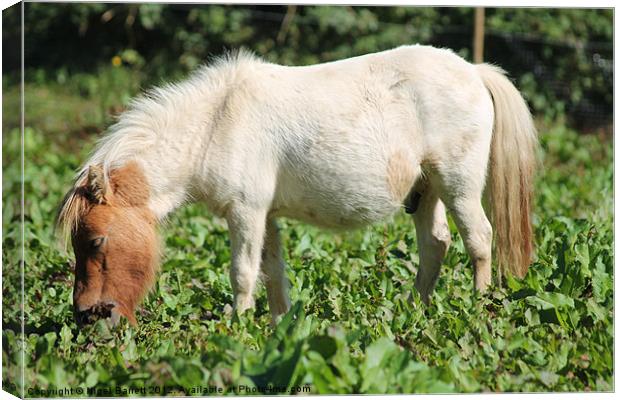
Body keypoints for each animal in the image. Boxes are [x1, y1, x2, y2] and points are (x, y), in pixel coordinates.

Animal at [55, 45, 536, 326]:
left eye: (95, 241)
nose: (85, 315)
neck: (215, 122)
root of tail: (474, 71)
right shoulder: (264, 217)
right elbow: (273, 274)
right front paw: (278, 329)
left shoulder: (245, 213)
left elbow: (243, 273)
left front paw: (239, 328)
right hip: (427, 191)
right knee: (435, 244)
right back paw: (413, 309)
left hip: (458, 186)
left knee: (480, 239)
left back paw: (477, 307)